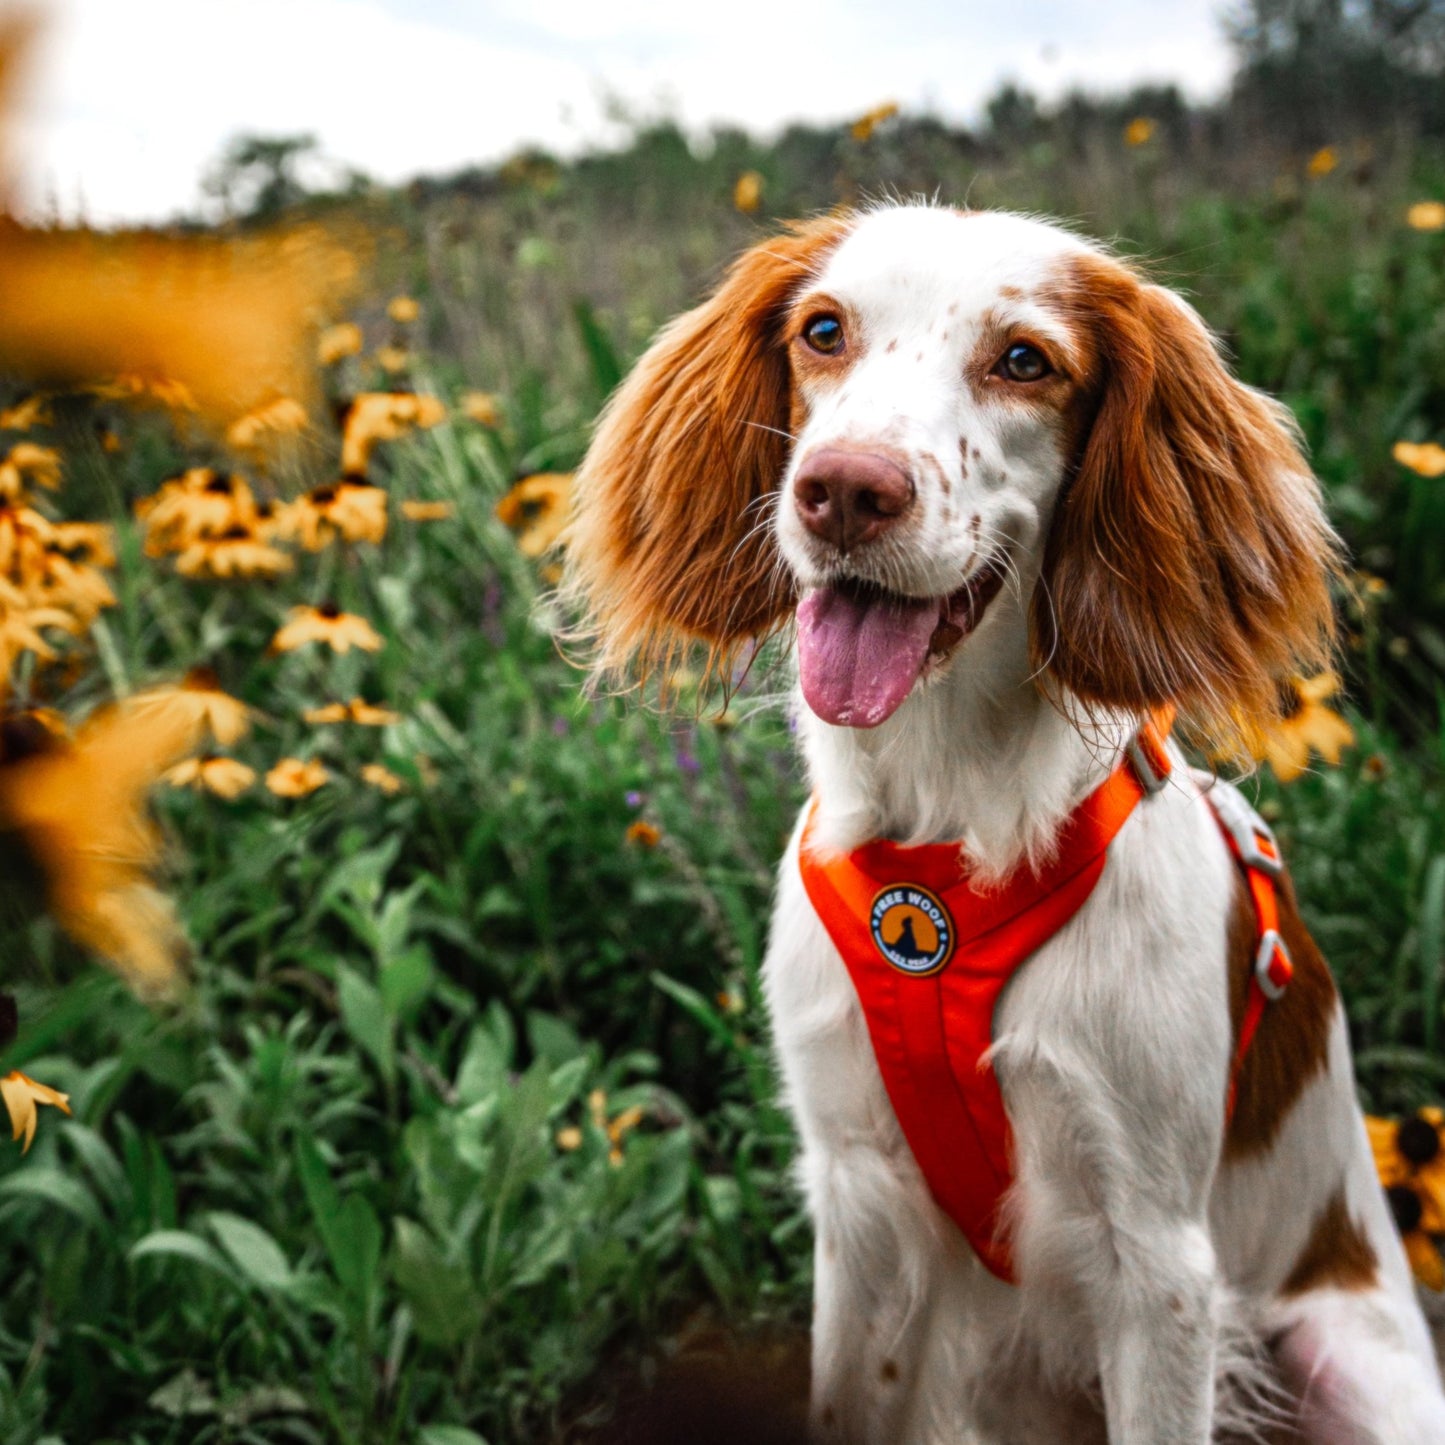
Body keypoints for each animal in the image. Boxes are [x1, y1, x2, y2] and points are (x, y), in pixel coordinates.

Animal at [560, 206, 1445, 1445]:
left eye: (1024, 359)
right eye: (821, 330)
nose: (843, 489)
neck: (939, 846)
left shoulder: (1156, 1262)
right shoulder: (859, 1203)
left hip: (1340, 1357)